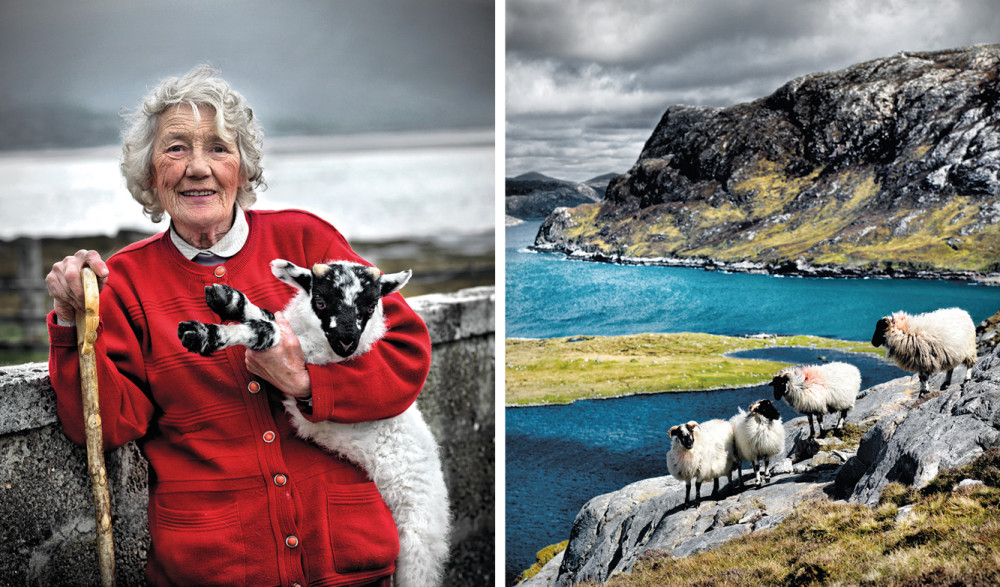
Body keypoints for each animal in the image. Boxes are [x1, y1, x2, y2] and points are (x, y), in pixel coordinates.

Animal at [177, 260, 450, 587]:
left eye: (371, 305)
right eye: (320, 301)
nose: (346, 342)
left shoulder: (307, 354)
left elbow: (266, 330)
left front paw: (202, 334)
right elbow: (268, 317)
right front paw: (227, 299)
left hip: (418, 548)